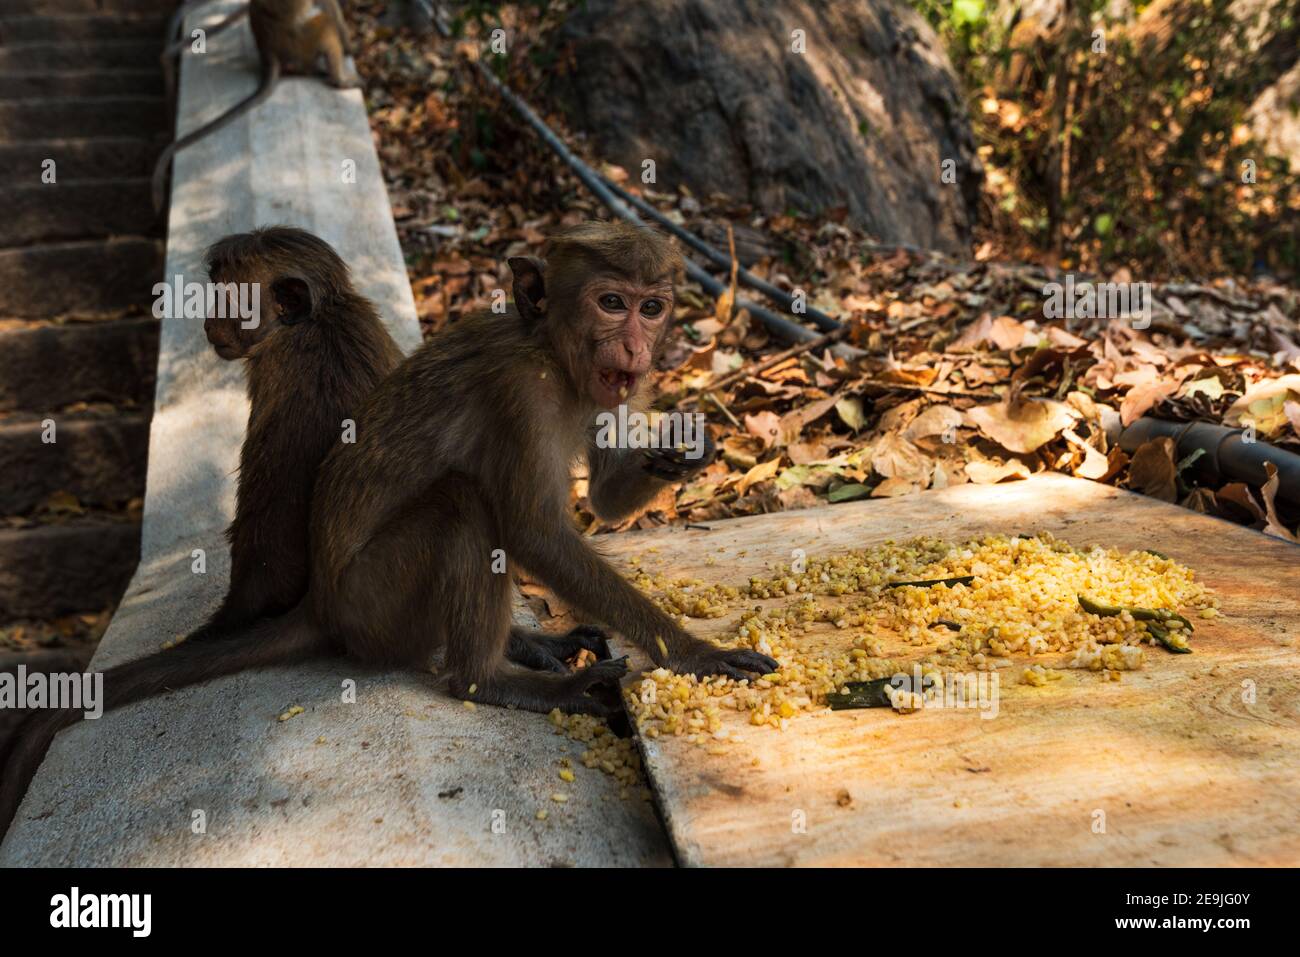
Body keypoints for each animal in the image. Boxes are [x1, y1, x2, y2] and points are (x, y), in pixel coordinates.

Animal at [155, 0, 364, 210]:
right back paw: (338, 79)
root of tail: (268, 50)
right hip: (299, 43)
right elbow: (329, 7)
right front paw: (348, 46)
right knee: (326, 23)